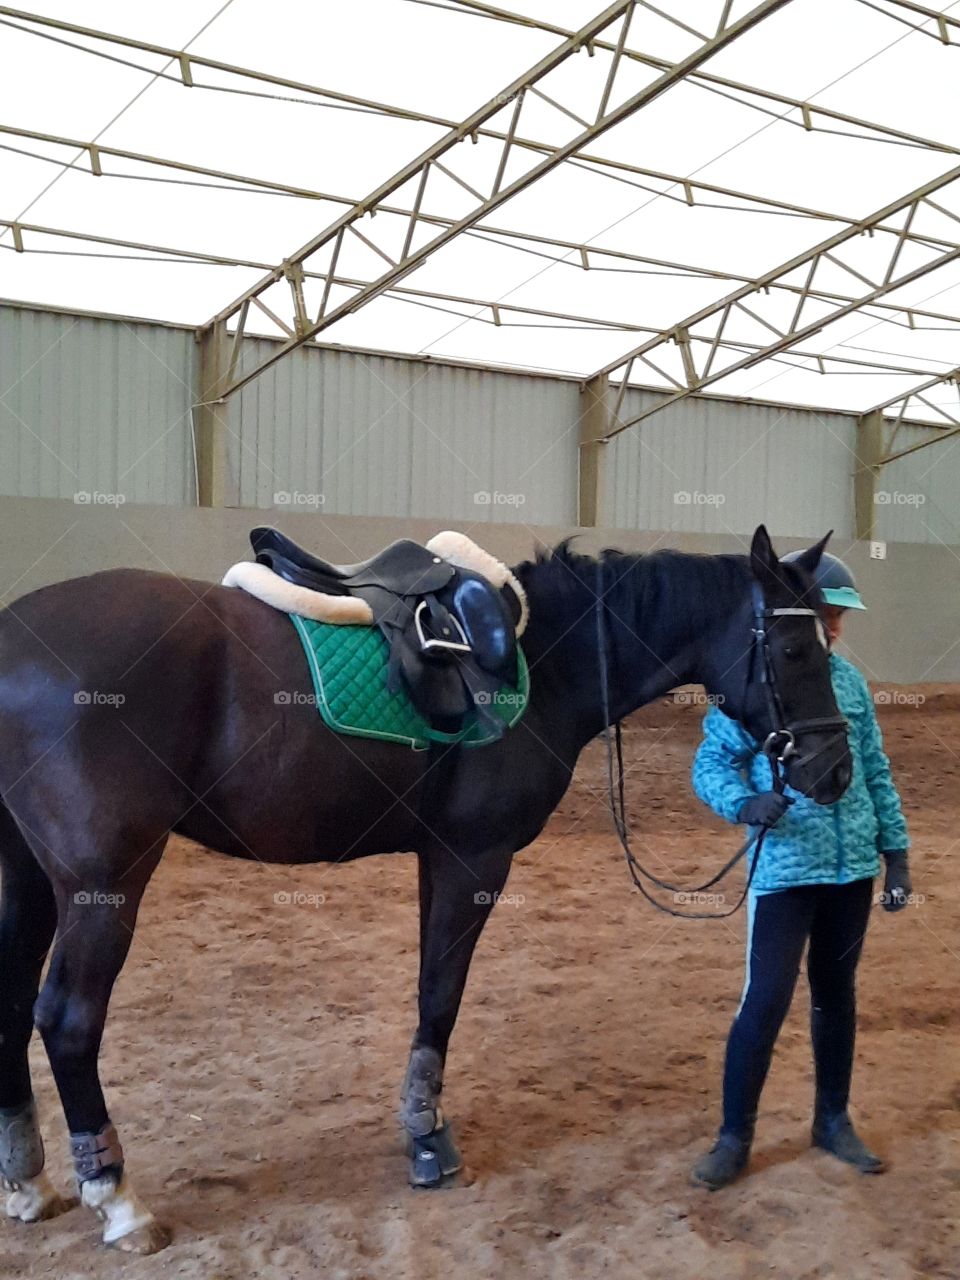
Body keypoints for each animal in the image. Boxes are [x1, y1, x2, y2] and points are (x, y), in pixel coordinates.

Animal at [0, 522, 855, 1249]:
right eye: (792, 647)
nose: (834, 771)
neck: (545, 658)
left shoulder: (436, 857)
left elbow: (427, 991)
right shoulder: (473, 859)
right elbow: (441, 996)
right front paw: (427, 1140)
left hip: (26, 875)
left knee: (14, 1006)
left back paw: (29, 1182)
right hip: (105, 884)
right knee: (68, 1022)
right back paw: (118, 1200)